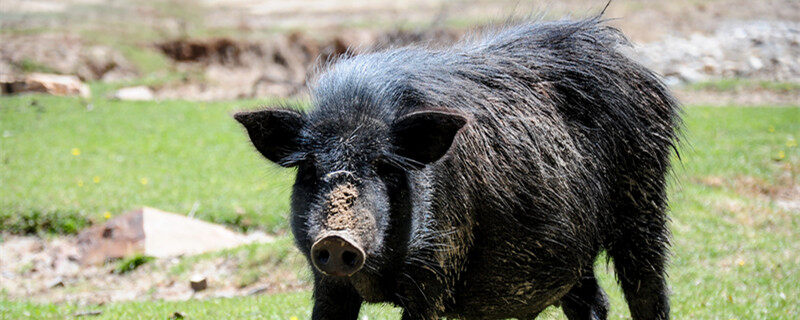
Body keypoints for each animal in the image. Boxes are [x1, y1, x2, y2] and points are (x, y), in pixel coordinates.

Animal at [234, 16, 680, 318]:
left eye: (385, 167)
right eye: (310, 170)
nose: (337, 238)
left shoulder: (438, 267)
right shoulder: (327, 283)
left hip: (645, 205)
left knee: (648, 289)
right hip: (574, 252)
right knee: (593, 301)